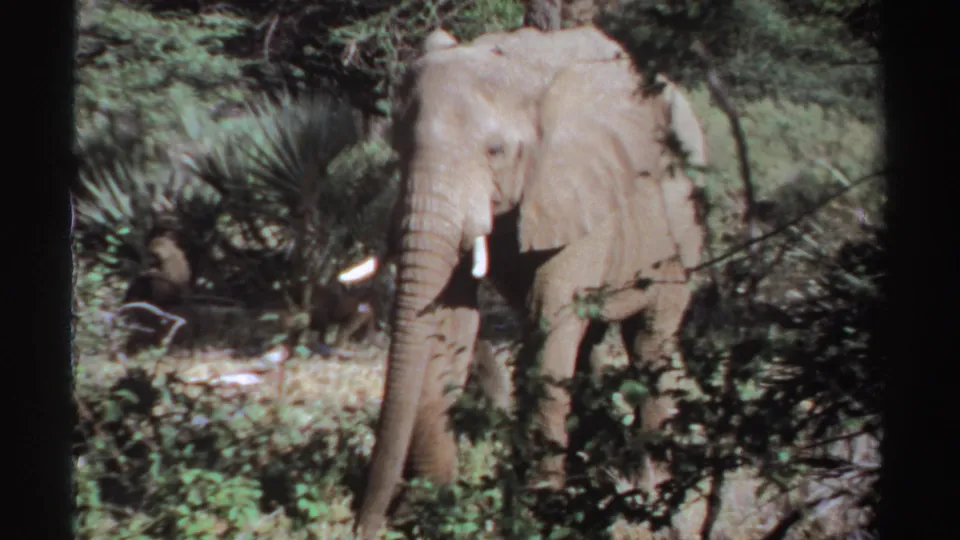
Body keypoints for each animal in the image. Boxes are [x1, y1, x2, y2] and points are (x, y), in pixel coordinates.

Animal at [355, 25, 707, 538]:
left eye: (496, 151)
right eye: (398, 147)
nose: (365, 524)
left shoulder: (580, 190)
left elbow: (551, 326)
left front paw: (538, 513)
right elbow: (455, 320)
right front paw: (435, 506)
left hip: (683, 233)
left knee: (649, 343)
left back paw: (650, 494)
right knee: (593, 344)